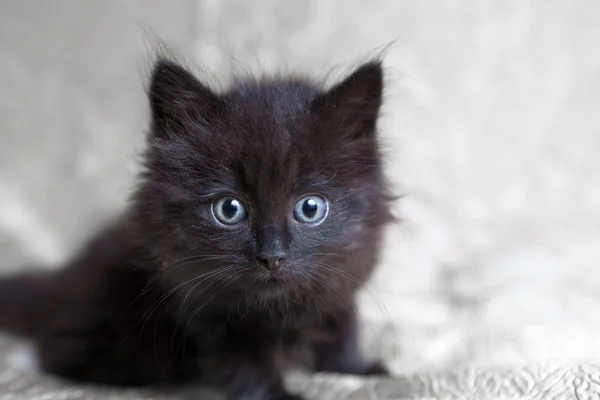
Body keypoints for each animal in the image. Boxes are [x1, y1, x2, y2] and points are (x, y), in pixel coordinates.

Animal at [0, 57, 392, 400]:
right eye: (229, 209)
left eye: (310, 208)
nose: (272, 256)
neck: (277, 313)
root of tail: (59, 281)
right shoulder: (204, 308)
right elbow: (244, 361)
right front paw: (275, 394)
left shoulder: (340, 277)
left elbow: (343, 324)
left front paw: (356, 369)